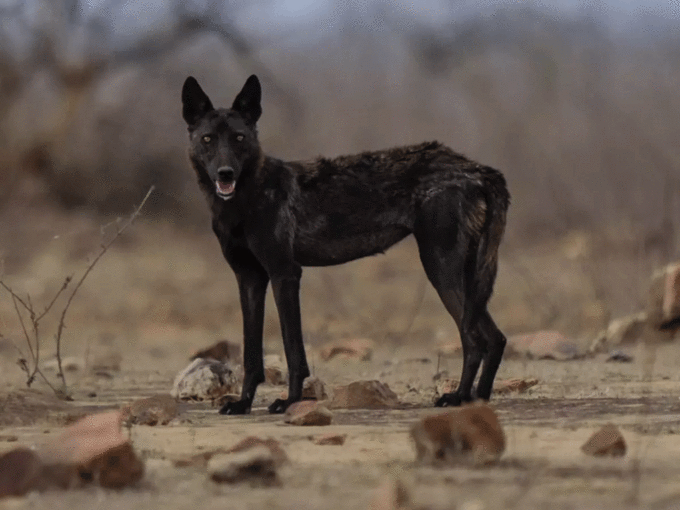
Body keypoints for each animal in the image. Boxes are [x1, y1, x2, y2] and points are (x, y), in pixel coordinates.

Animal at [182, 73, 510, 414]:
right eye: (208, 139)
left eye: (239, 138)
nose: (225, 173)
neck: (246, 199)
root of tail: (480, 170)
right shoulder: (249, 280)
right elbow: (250, 355)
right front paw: (244, 403)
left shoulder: (285, 274)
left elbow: (293, 350)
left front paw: (291, 401)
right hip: (463, 279)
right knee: (495, 338)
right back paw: (477, 399)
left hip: (440, 270)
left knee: (474, 339)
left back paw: (458, 398)